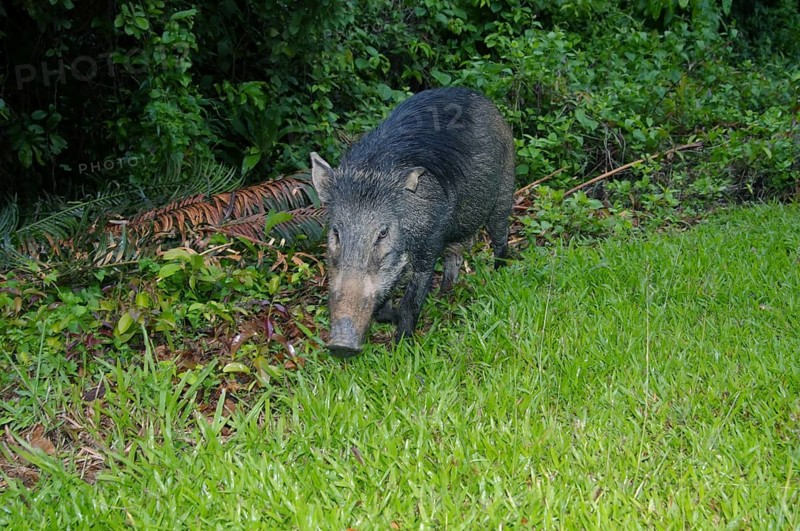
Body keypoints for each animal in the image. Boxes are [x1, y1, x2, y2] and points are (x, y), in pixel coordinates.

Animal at [310, 87, 515, 357]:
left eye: (382, 232)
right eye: (335, 232)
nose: (341, 346)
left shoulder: (430, 244)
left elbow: (412, 300)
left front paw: (401, 346)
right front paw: (391, 317)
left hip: (503, 192)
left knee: (500, 238)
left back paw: (499, 273)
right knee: (455, 256)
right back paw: (444, 295)